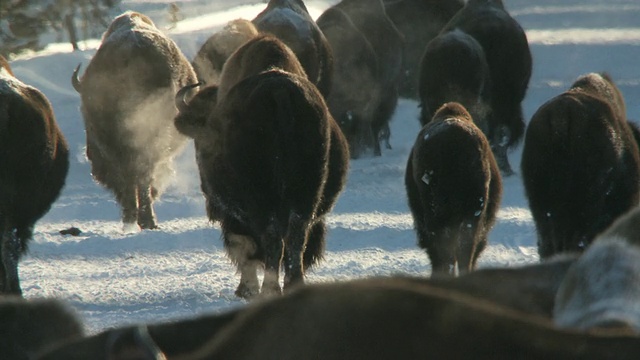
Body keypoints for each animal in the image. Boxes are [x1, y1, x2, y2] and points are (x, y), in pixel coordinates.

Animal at [172, 34, 348, 298]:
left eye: (200, 139)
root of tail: (280, 92)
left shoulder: (234, 215)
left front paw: (246, 288)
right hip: (307, 193)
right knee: (296, 237)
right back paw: (293, 285)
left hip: (259, 198)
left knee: (271, 238)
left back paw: (268, 289)